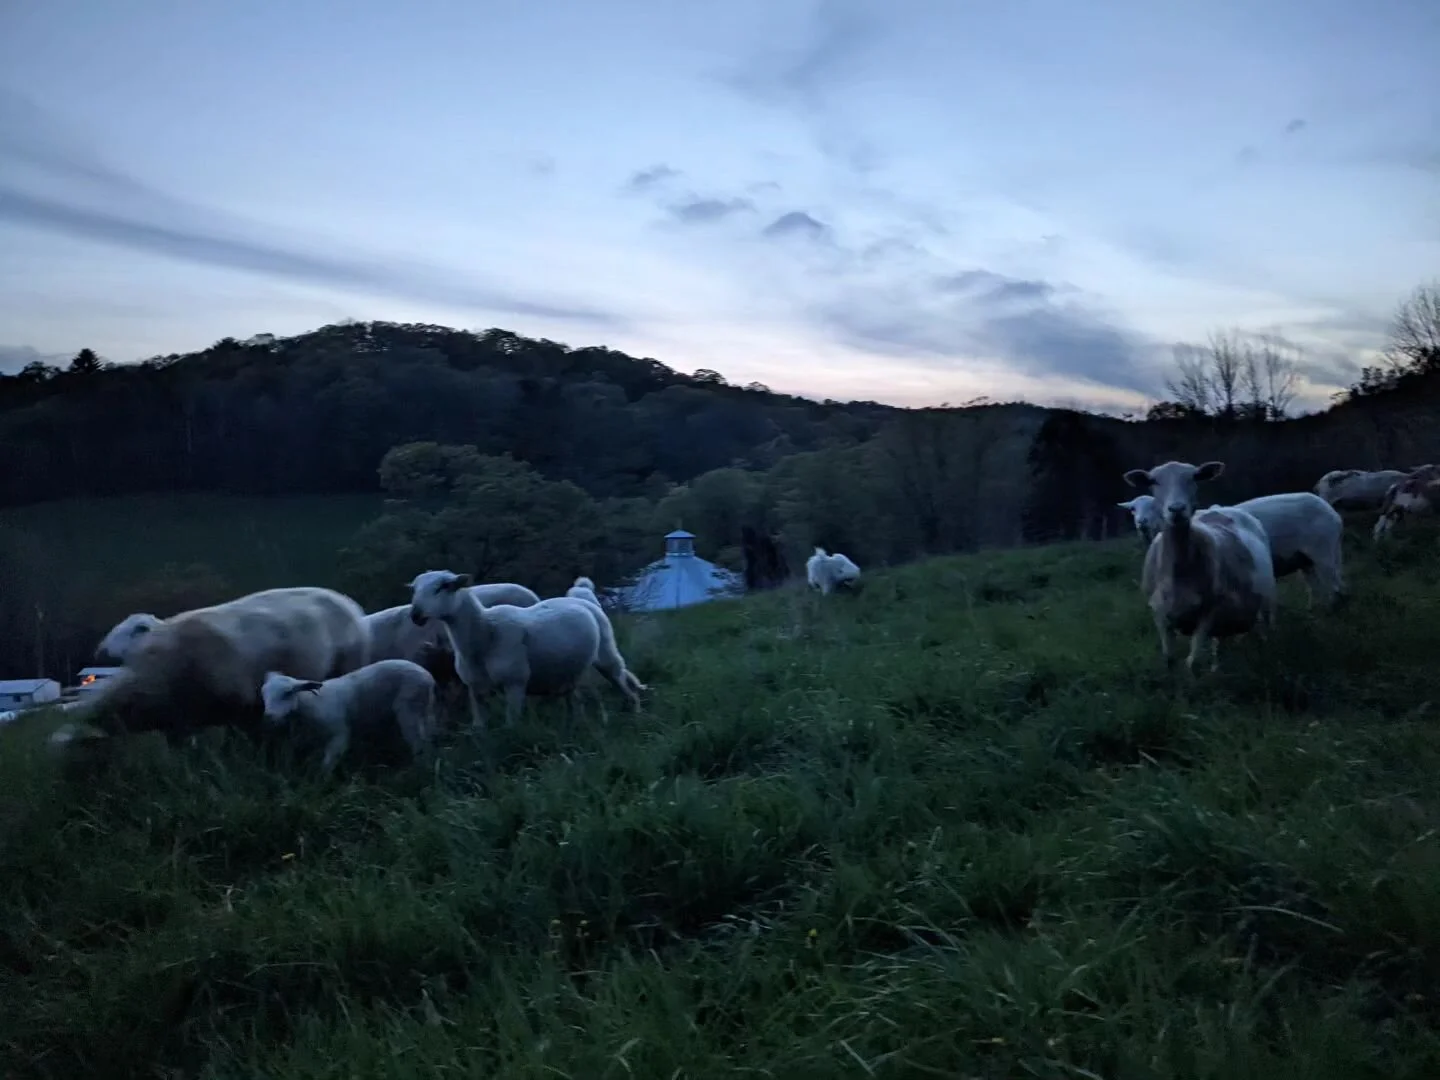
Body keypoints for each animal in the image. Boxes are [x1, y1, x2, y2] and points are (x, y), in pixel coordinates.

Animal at [260, 659, 438, 775]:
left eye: (287, 693)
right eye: (264, 694)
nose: (268, 716)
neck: (312, 704)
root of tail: (429, 679)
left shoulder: (339, 732)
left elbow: (329, 761)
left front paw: (321, 782)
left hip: (409, 709)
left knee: (418, 743)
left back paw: (416, 771)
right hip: (424, 711)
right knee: (427, 739)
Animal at [408, 570, 646, 729]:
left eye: (443, 587)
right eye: (416, 589)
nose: (415, 615)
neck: (484, 633)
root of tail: (584, 597)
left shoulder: (515, 683)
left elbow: (511, 725)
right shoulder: (475, 689)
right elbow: (479, 728)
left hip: (606, 655)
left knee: (623, 684)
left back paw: (636, 714)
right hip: (568, 671)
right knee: (575, 700)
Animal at [1123, 461, 1277, 674]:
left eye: (1194, 477)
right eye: (1154, 481)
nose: (1177, 509)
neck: (1178, 572)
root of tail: (1221, 509)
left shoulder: (1208, 614)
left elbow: (1193, 662)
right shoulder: (1159, 614)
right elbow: (1169, 659)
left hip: (1265, 601)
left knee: (1265, 627)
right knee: (1219, 643)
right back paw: (1217, 666)